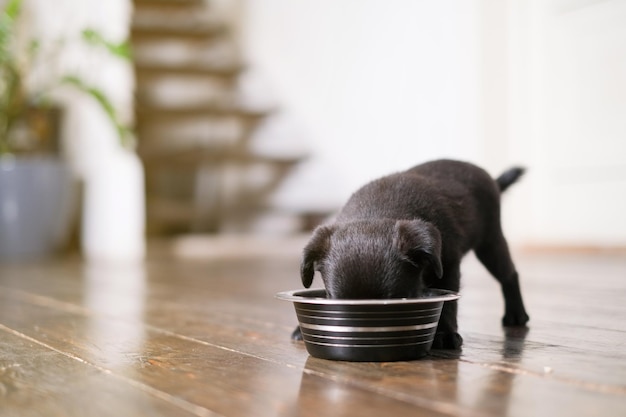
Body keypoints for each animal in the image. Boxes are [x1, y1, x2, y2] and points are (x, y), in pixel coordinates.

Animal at [294, 158, 528, 348]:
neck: (376, 213)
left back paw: (516, 314)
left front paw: (445, 334)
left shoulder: (448, 266)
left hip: (490, 242)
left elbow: (448, 304)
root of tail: (493, 180)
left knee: (509, 275)